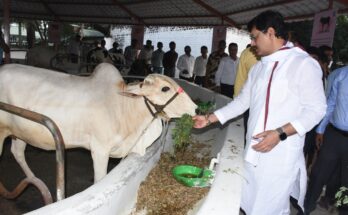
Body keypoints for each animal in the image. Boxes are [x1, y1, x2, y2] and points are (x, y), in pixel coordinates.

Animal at [0, 63, 196, 182]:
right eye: (165, 88)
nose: (195, 109)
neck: (123, 106)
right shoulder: (100, 150)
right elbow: (99, 179)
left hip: (21, 132)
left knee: (17, 152)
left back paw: (33, 179)